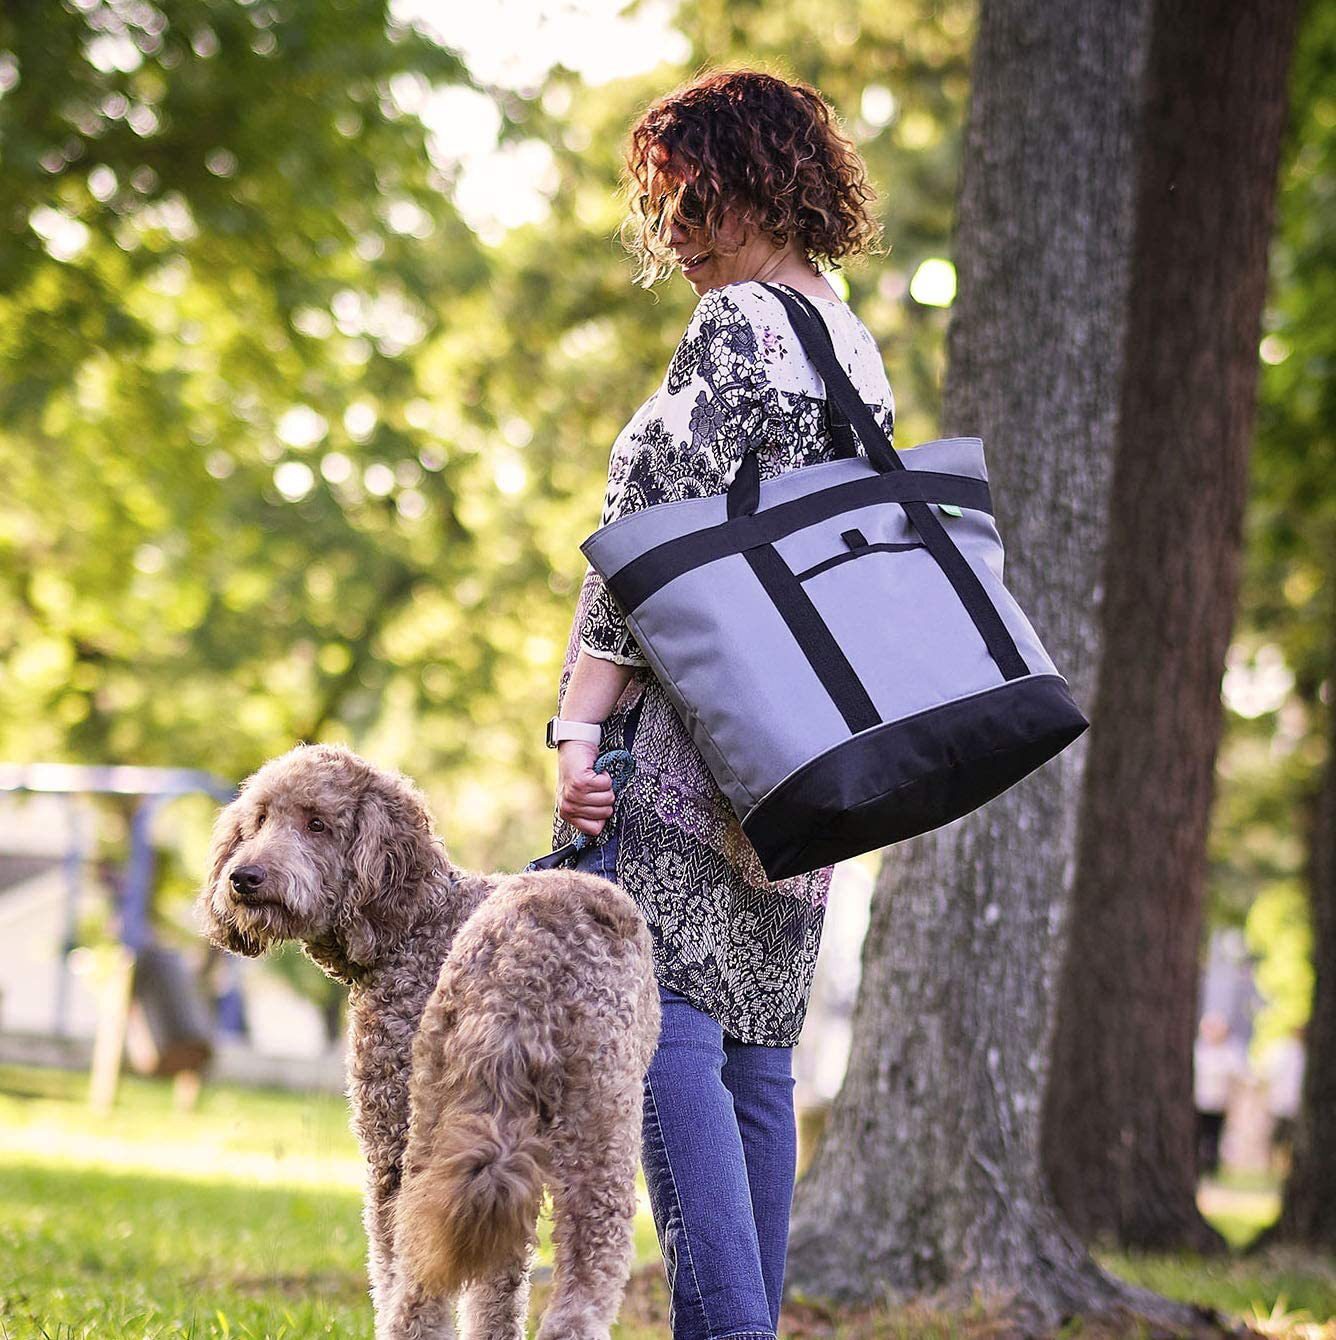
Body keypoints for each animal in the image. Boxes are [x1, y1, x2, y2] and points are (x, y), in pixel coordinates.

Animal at [195, 745, 659, 1340]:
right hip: (579, 1126)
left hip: (458, 1124)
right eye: (257, 821)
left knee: (423, 1284)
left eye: (317, 823)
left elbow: (396, 1265)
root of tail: (532, 958)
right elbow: (497, 1285)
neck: (415, 922)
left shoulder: (387, 1143)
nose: (243, 877)